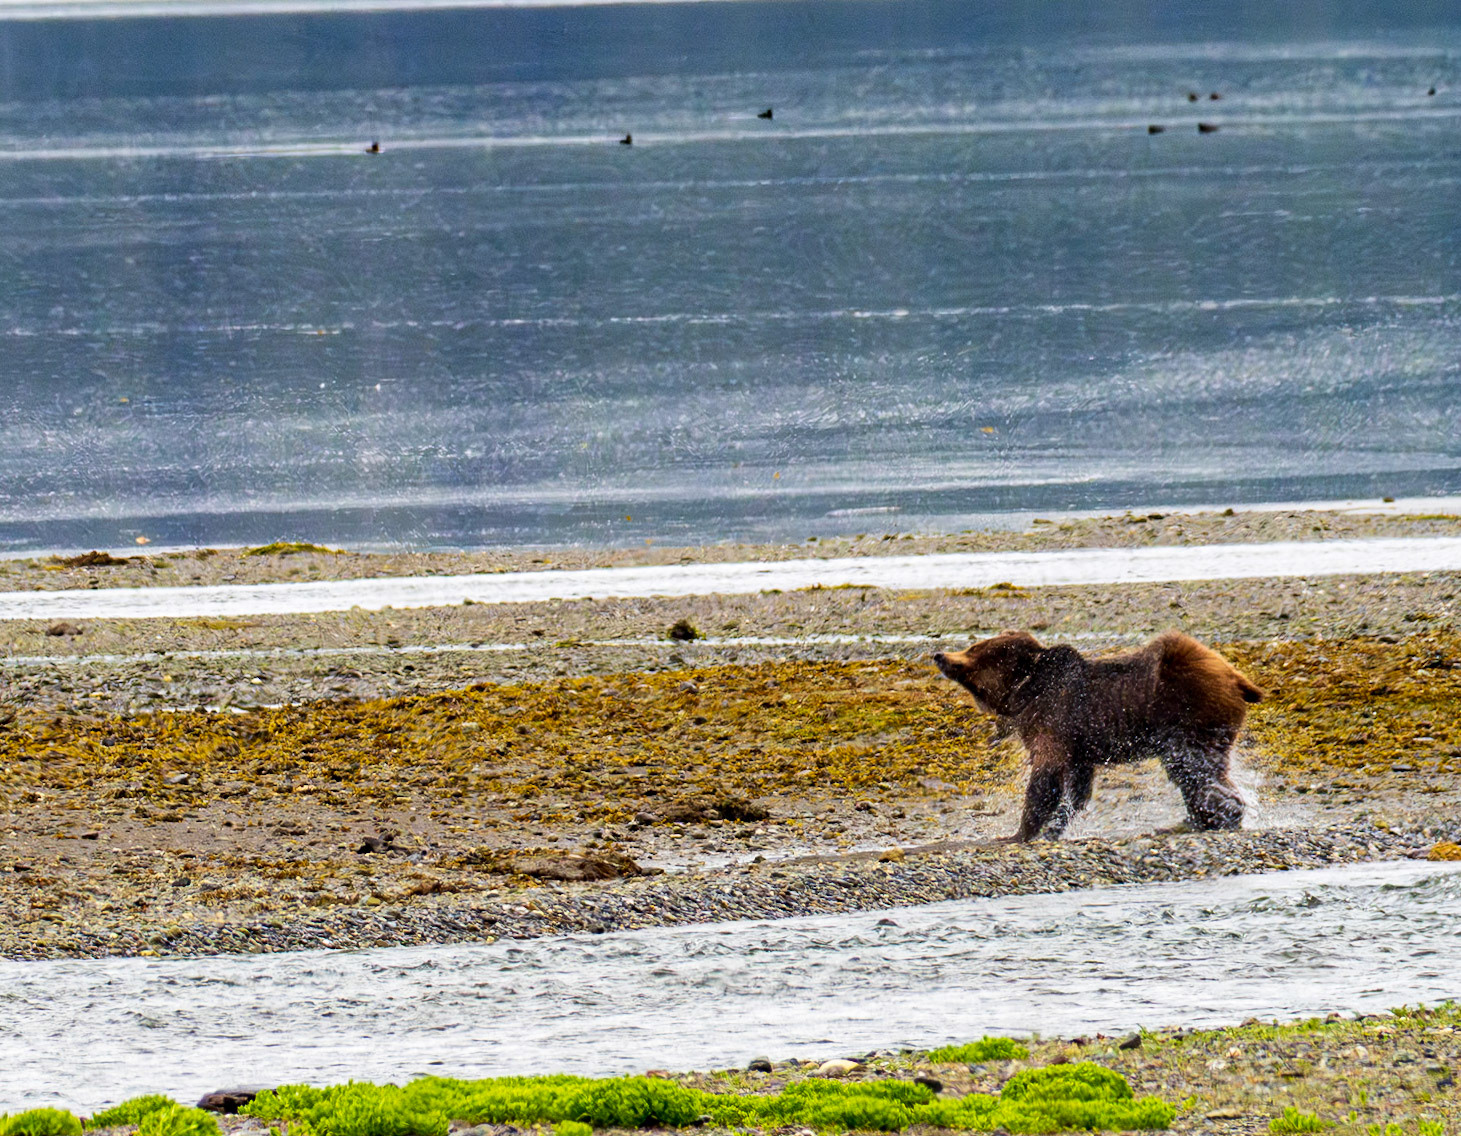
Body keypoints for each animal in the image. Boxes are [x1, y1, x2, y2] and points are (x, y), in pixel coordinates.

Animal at [932, 630, 1263, 842]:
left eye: (975, 648)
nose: (939, 654)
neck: (1023, 694)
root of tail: (1235, 676)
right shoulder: (1079, 746)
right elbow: (1076, 788)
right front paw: (1054, 827)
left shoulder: (1054, 723)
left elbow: (1046, 778)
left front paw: (1019, 832)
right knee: (1196, 773)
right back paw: (1195, 819)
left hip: (1189, 717)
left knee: (1192, 769)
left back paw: (1209, 817)